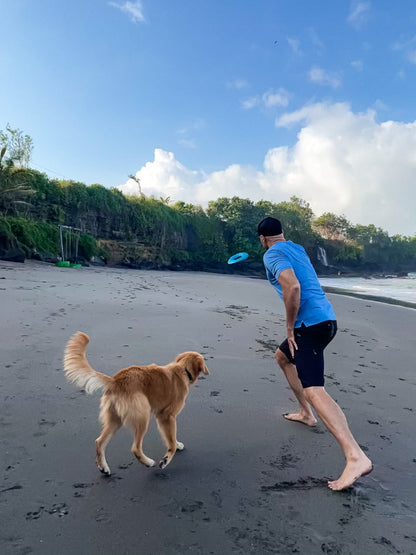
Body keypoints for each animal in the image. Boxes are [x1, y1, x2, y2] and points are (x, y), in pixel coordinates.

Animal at [63, 332, 210, 476]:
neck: (183, 369)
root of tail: (116, 381)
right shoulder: (166, 416)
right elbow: (171, 442)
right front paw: (166, 459)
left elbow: (172, 439)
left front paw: (177, 444)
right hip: (142, 416)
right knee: (135, 448)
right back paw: (149, 462)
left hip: (115, 419)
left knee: (99, 442)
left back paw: (103, 467)